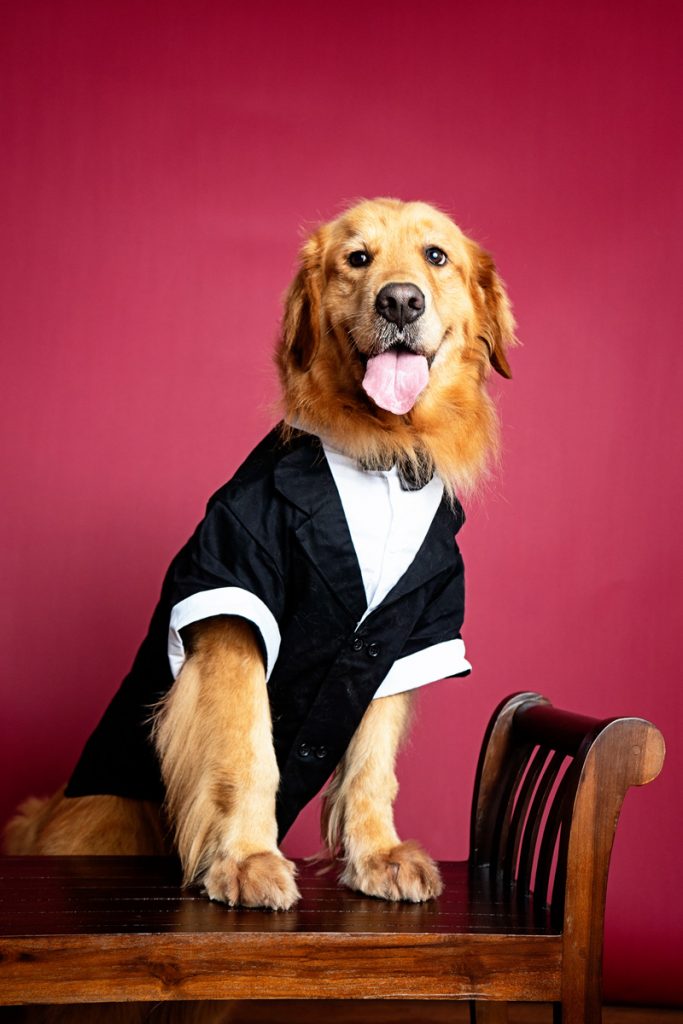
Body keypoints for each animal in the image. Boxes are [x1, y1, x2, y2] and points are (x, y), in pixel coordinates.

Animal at [3, 195, 511, 909]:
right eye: (358, 258)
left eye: (436, 256)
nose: (401, 301)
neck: (380, 459)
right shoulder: (234, 600)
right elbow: (247, 750)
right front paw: (245, 859)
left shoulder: (408, 634)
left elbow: (372, 761)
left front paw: (377, 854)